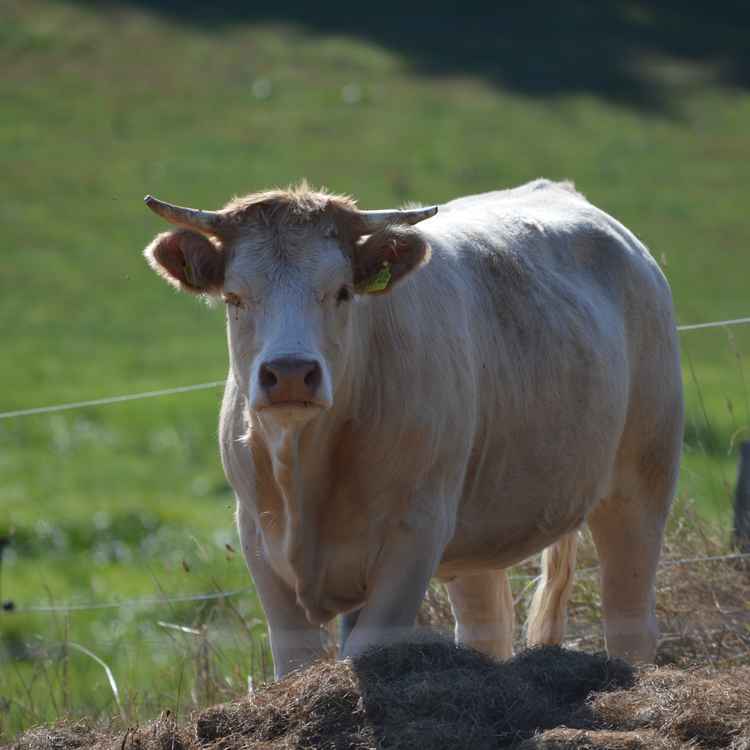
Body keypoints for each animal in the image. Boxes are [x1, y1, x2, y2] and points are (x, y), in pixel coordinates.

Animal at [143, 179, 683, 677]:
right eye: (235, 297)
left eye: (342, 292)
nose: (291, 373)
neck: (306, 467)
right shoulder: (257, 536)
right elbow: (295, 663)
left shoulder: (414, 534)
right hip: (477, 533)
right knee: (487, 627)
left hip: (640, 482)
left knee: (630, 618)